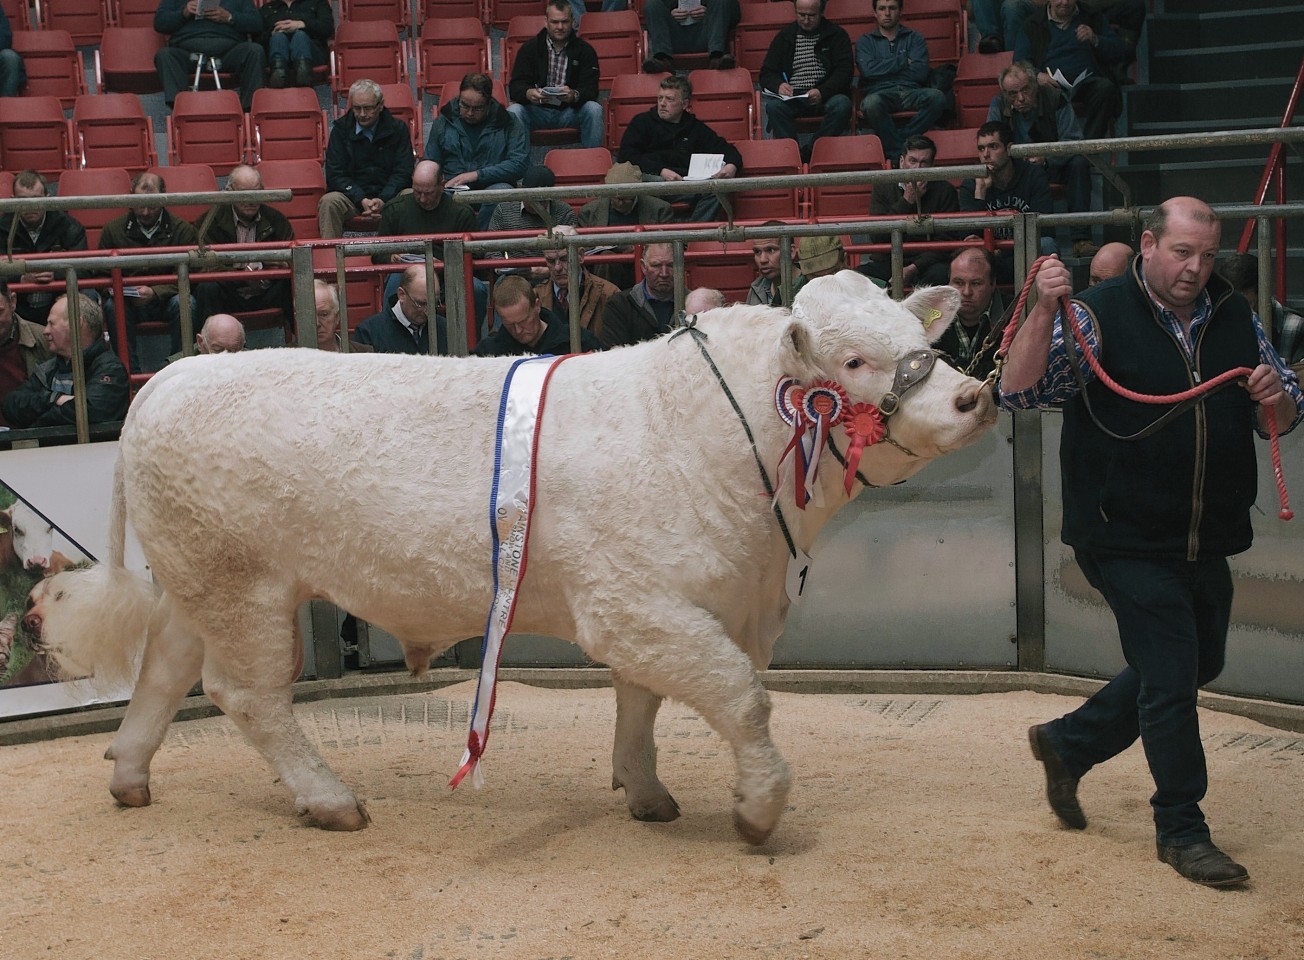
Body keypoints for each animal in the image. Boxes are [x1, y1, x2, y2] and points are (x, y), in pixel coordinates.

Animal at [43, 268, 996, 840]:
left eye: (921, 337)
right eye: (855, 359)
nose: (972, 396)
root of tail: (172, 375)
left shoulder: (667, 606)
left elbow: (641, 705)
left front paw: (646, 793)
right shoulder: (638, 606)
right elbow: (741, 697)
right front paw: (758, 809)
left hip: (198, 579)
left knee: (165, 668)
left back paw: (129, 774)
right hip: (243, 585)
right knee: (244, 694)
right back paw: (330, 799)